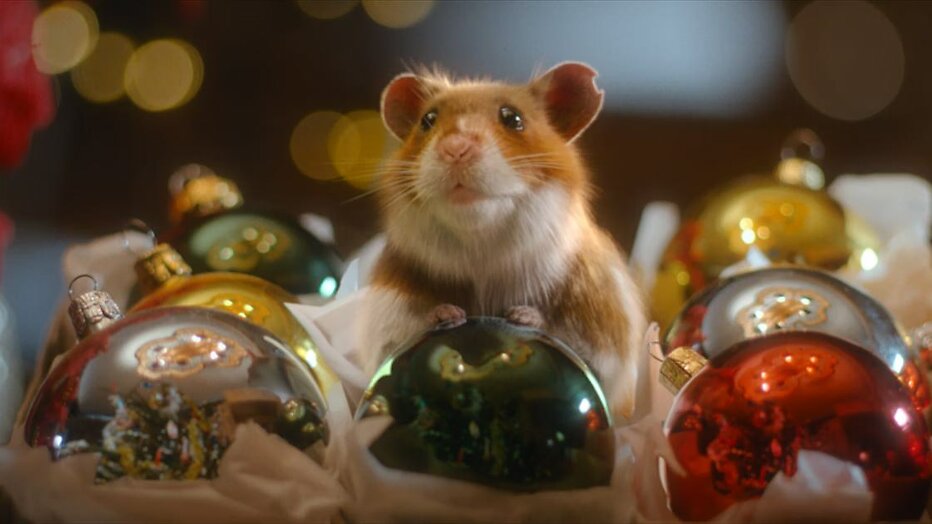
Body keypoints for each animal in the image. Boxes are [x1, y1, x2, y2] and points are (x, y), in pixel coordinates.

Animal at [359, 62, 647, 421]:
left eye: (513, 118)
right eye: (428, 120)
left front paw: (521, 316)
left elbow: (569, 338)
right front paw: (447, 313)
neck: (482, 245)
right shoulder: (388, 317)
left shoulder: (604, 332)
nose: (455, 148)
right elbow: (408, 330)